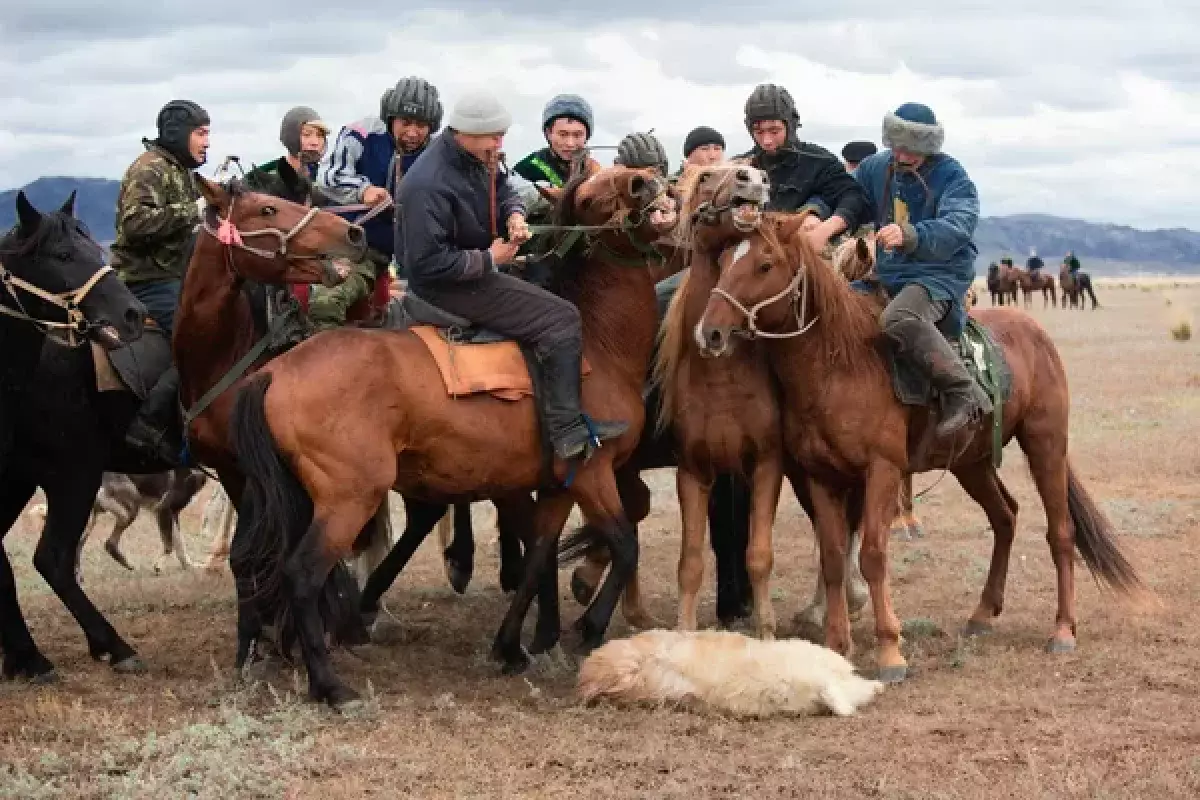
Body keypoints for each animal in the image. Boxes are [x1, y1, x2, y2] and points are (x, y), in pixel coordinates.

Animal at [1, 191, 150, 681]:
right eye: (63, 255)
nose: (132, 315)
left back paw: (27, 656)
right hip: (72, 475)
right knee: (52, 559)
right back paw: (108, 645)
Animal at [225, 164, 676, 705]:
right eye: (588, 198)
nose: (643, 180)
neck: (595, 341)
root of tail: (275, 372)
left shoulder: (556, 486)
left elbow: (538, 557)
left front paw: (510, 646)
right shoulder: (593, 472)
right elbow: (625, 544)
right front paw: (588, 628)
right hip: (349, 498)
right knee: (301, 575)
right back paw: (330, 685)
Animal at [700, 217, 1147, 681]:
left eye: (765, 264)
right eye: (723, 261)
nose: (710, 331)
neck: (840, 364)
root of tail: (1035, 332)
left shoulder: (881, 470)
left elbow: (873, 555)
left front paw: (889, 652)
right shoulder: (821, 477)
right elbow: (833, 558)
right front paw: (837, 646)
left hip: (1046, 444)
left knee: (1061, 532)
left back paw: (1062, 630)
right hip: (972, 462)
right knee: (1005, 517)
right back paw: (983, 613)